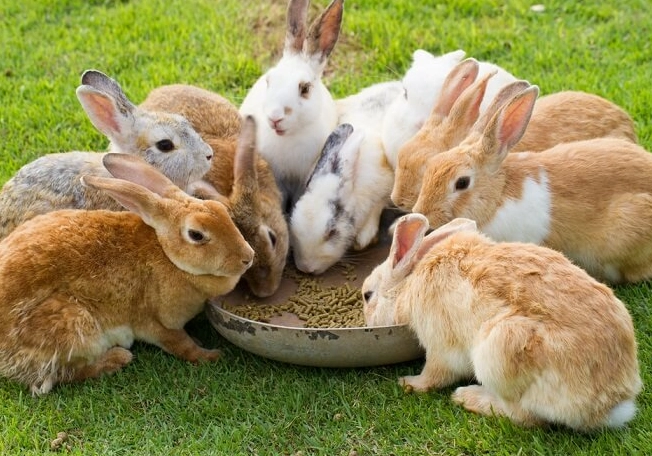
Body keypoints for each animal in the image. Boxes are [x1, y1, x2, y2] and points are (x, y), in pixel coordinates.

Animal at [0, 152, 254, 396]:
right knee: (62, 374)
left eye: (222, 211)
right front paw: (210, 354)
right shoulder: (156, 323)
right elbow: (181, 345)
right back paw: (117, 359)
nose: (248, 257)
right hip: (74, 325)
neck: (167, 254)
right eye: (196, 235)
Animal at [362, 214, 642, 431]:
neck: (409, 282)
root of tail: (611, 404)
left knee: (525, 416)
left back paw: (468, 397)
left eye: (367, 295)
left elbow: (434, 374)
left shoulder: (439, 346)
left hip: (499, 351)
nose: (366, 322)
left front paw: (409, 383)